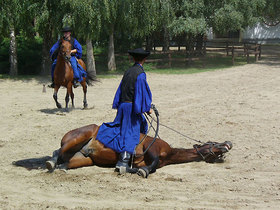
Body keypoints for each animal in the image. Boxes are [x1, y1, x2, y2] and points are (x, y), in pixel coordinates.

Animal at [46, 124, 233, 178]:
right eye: (213, 143)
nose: (228, 143)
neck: (169, 153)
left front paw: (128, 169)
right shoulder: (152, 148)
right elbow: (153, 165)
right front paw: (142, 171)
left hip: (83, 158)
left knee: (65, 161)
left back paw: (61, 167)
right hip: (79, 136)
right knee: (57, 151)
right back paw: (51, 162)